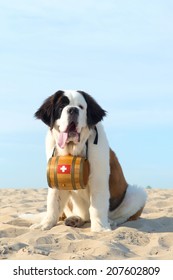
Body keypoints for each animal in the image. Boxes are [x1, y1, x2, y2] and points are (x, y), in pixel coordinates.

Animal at [33, 89, 147, 232]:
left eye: (81, 107)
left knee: (122, 216)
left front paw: (100, 228)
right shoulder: (55, 176)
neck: (74, 149)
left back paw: (110, 222)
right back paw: (75, 219)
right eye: (61, 107)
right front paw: (45, 224)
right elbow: (53, 203)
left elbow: (97, 206)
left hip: (136, 193)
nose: (72, 110)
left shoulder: (98, 178)